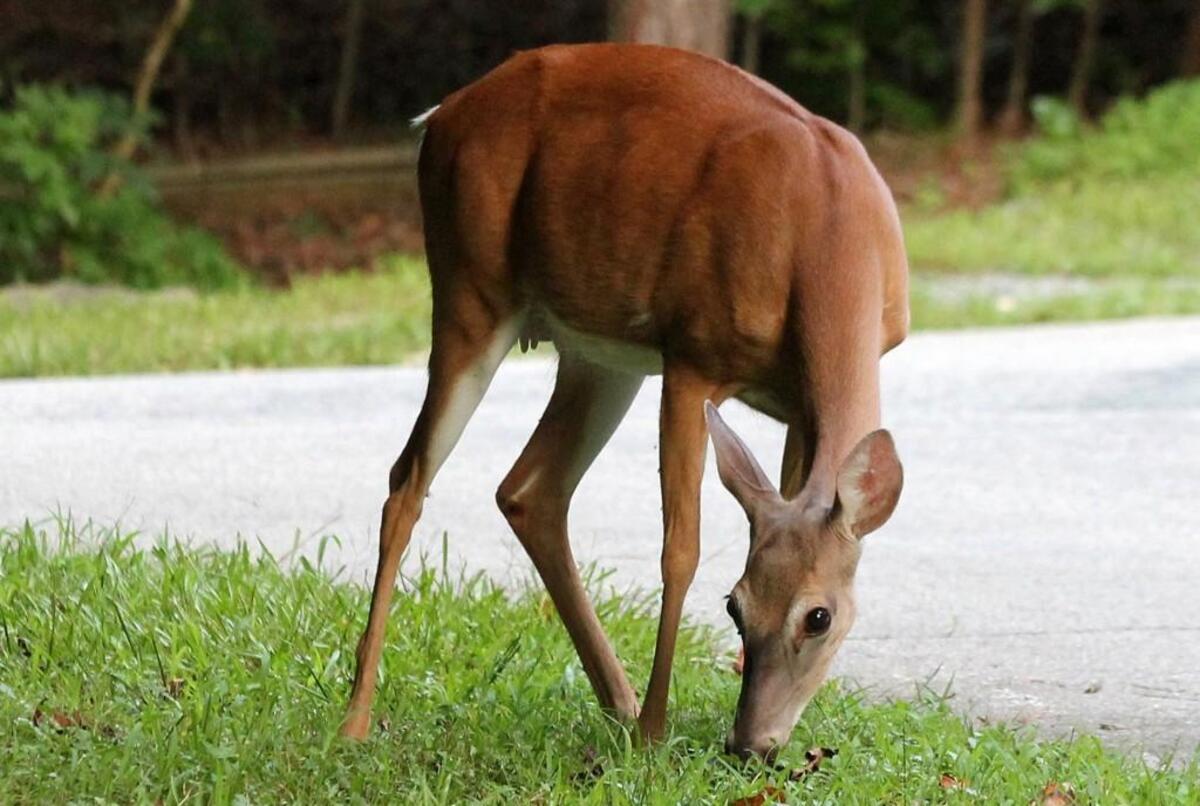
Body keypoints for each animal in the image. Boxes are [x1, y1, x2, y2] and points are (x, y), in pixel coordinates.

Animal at [340, 42, 908, 760]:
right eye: (734, 606)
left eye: (819, 617)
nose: (749, 744)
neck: (829, 231)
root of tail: (439, 116)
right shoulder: (692, 356)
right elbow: (680, 549)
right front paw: (656, 734)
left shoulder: (797, 406)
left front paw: (658, 722)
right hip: (470, 290)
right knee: (407, 481)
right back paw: (356, 719)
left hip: (597, 356)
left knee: (528, 488)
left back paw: (618, 700)